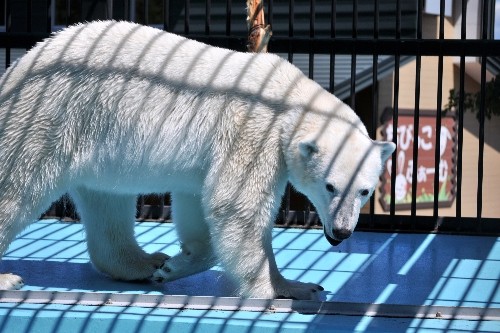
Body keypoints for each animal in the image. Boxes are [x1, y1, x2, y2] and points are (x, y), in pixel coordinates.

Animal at [0, 20, 394, 298]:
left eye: (364, 191)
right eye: (330, 186)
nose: (340, 234)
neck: (287, 98)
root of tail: (16, 69)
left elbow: (197, 204)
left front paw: (174, 265)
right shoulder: (253, 130)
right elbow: (236, 206)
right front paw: (287, 288)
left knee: (107, 201)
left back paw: (143, 261)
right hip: (46, 117)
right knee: (16, 188)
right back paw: (9, 278)